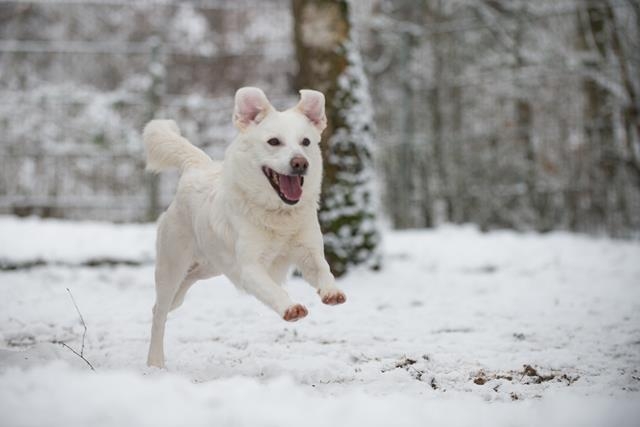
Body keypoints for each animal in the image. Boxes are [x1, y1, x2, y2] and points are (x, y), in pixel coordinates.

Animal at [143, 86, 348, 368]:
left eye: (306, 142)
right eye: (274, 141)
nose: (300, 163)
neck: (278, 215)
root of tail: (196, 168)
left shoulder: (309, 252)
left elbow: (323, 268)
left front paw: (331, 291)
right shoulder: (250, 268)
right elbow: (272, 289)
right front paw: (290, 308)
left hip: (209, 266)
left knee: (182, 289)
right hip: (171, 267)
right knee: (159, 312)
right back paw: (155, 361)